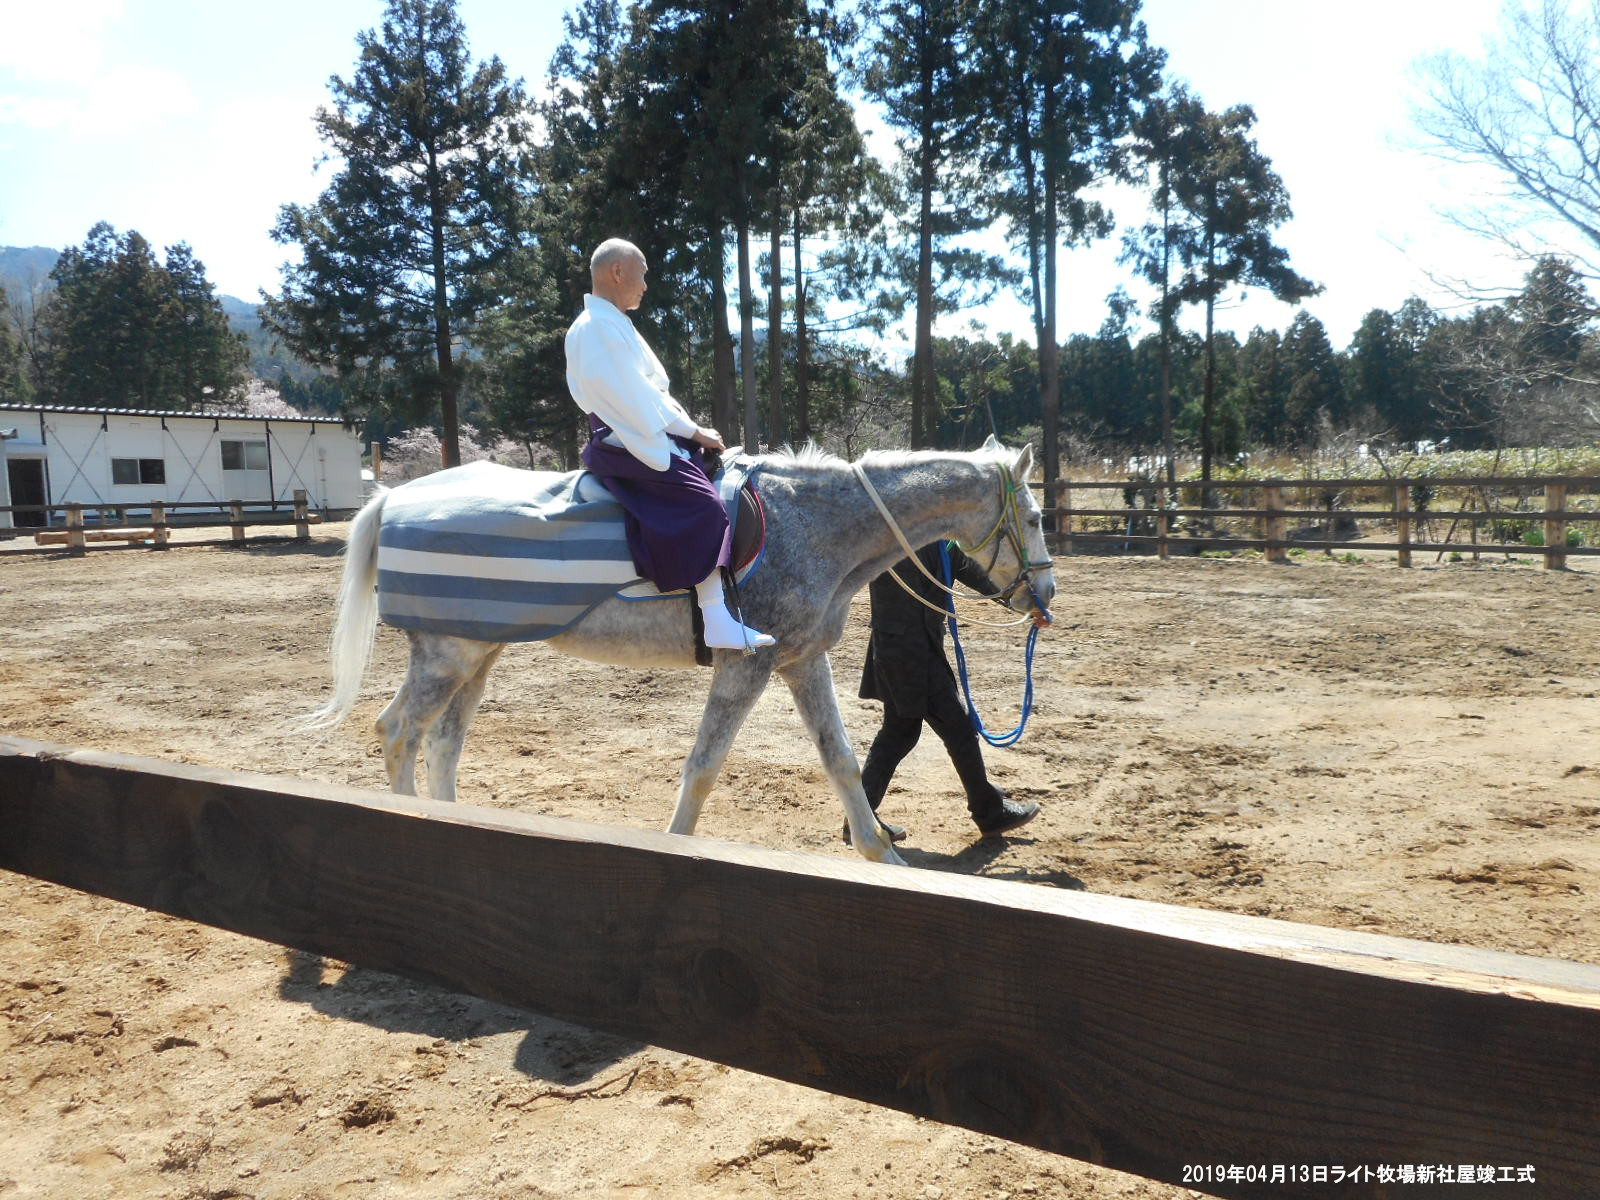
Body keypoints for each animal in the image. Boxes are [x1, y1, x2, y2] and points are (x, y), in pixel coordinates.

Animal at [304, 438, 1056, 870]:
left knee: (443, 745)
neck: (811, 525)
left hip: (479, 654)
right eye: (1036, 516)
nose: (1047, 592)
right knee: (399, 733)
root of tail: (395, 497)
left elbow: (841, 761)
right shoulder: (747, 665)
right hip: (447, 655)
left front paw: (881, 855)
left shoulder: (799, 661)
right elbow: (703, 767)